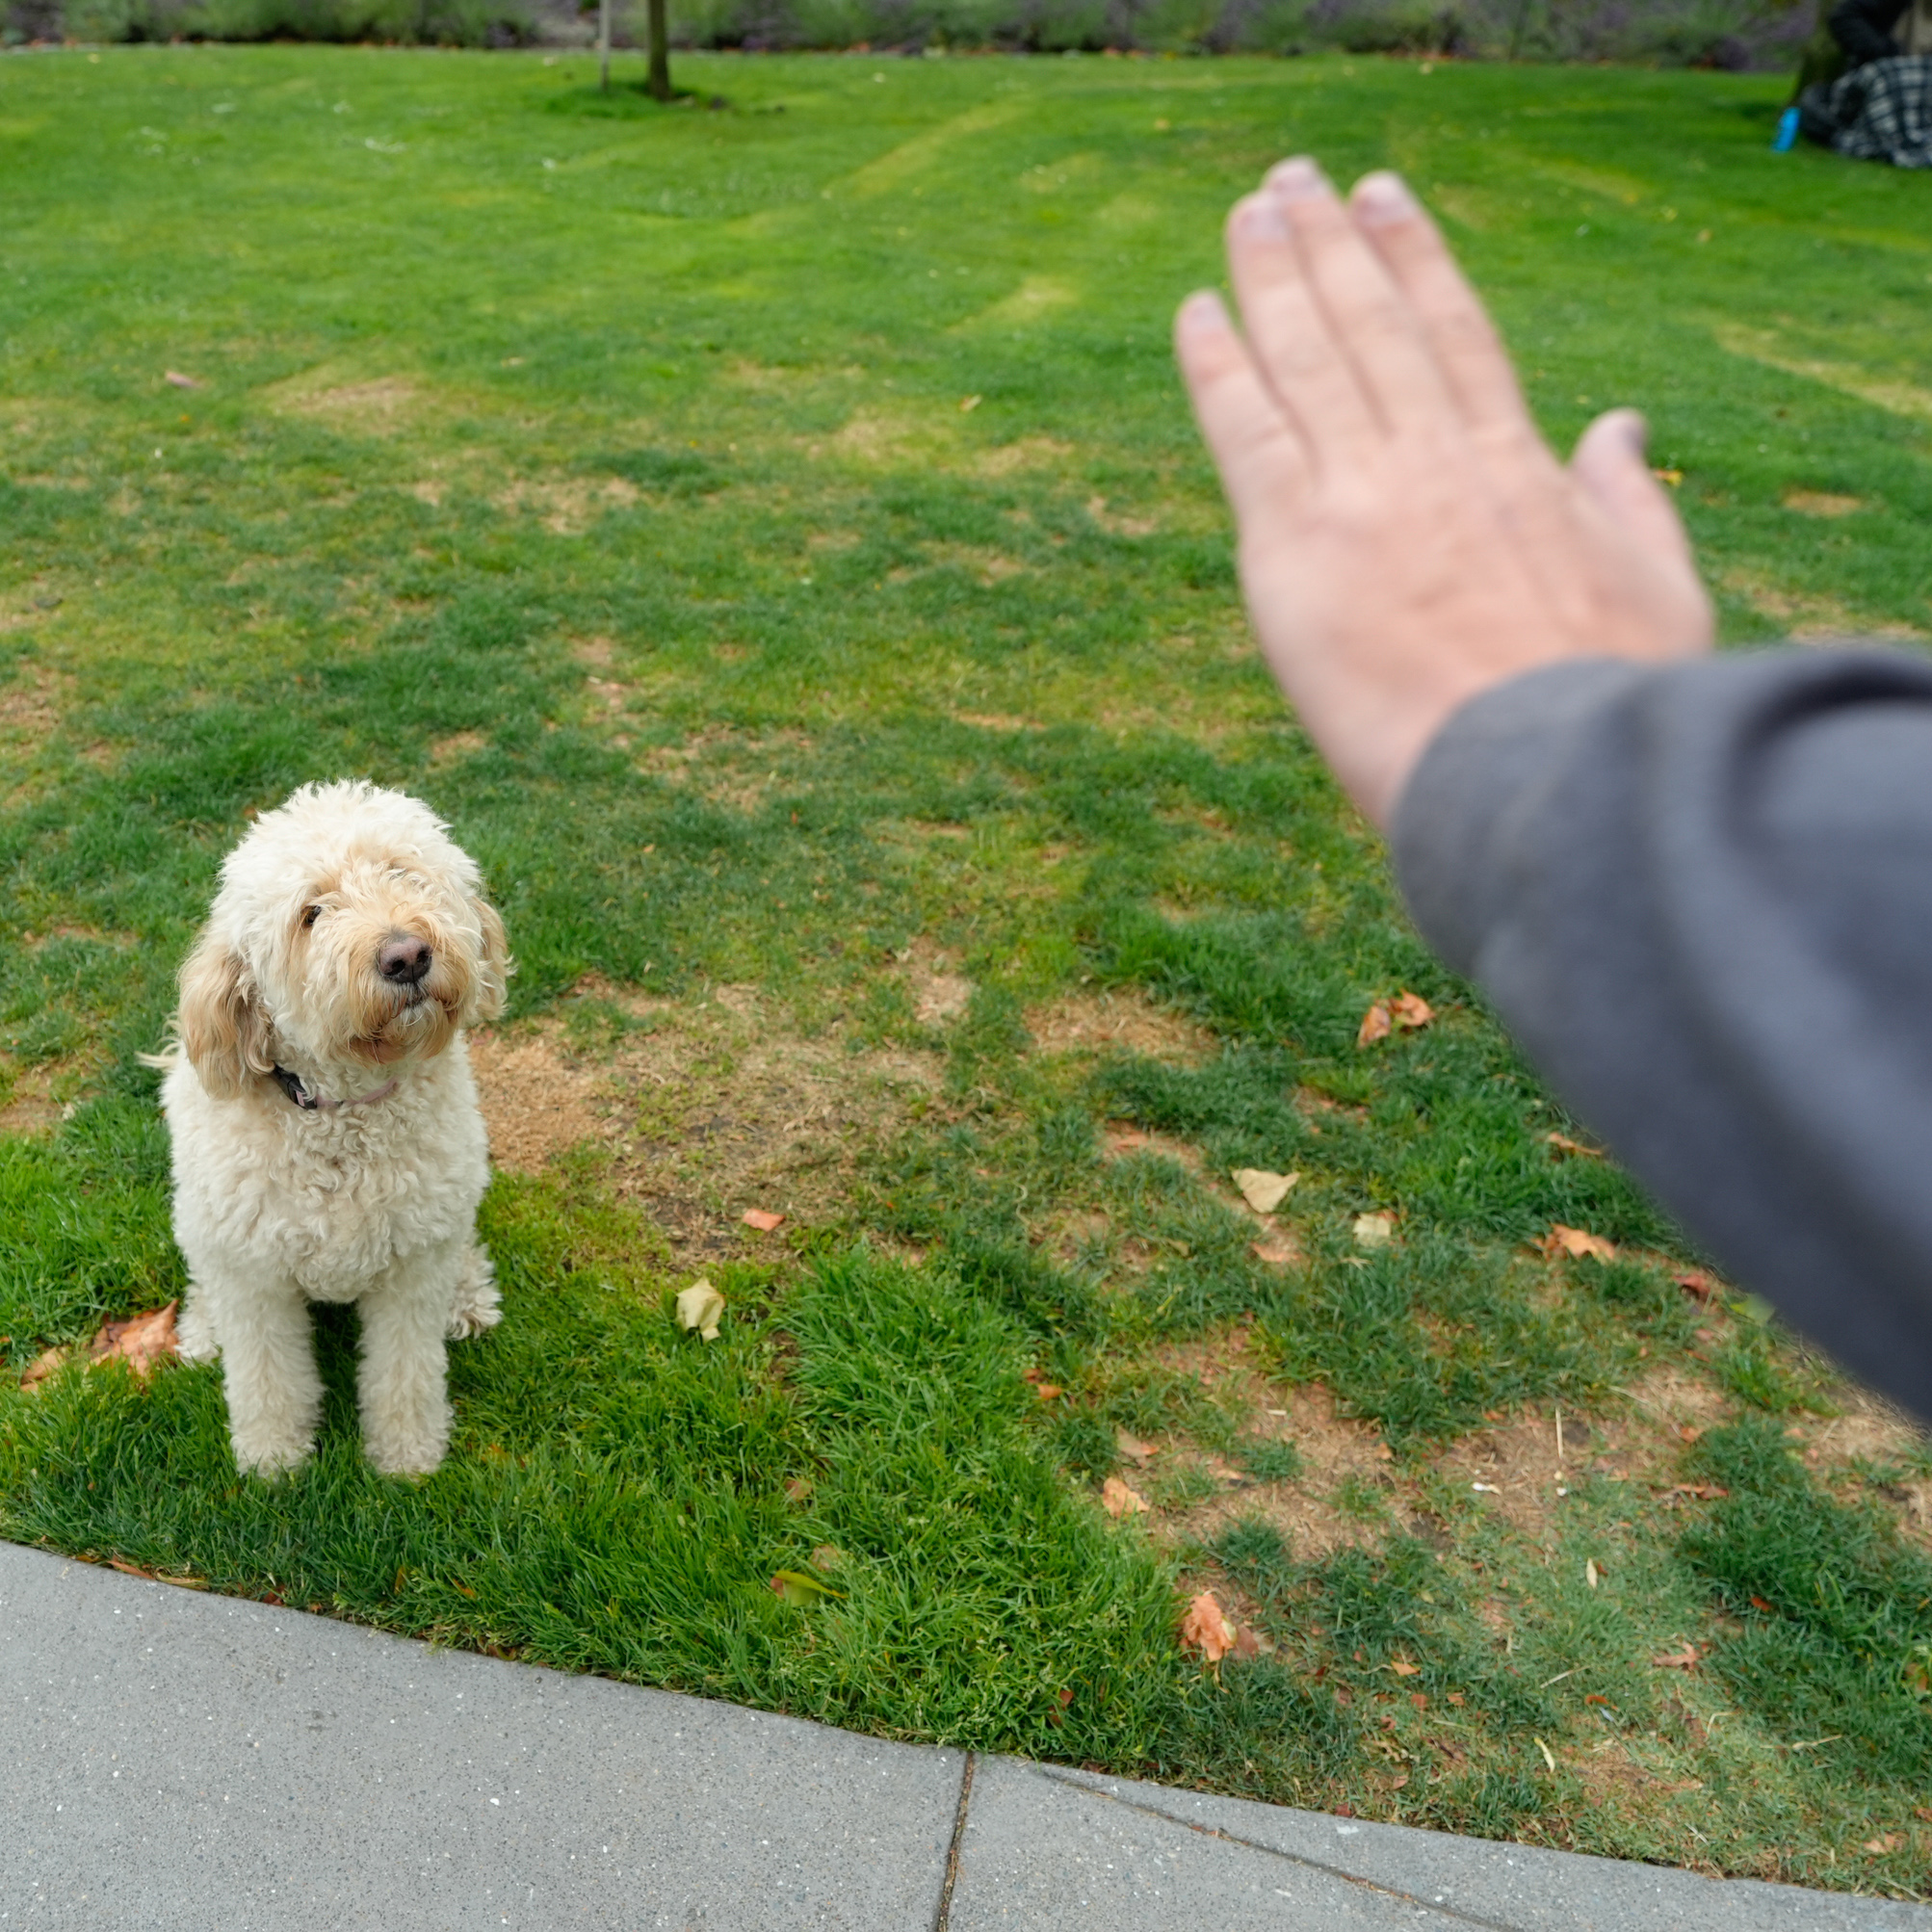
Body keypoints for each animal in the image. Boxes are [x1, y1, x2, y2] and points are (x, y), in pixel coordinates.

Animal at [157, 776, 509, 1468]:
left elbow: (406, 1371)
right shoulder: (255, 1282)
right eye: (312, 913)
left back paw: (468, 1296)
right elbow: (266, 1376)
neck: (345, 1113)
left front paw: (408, 1457)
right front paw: (272, 1459)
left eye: (403, 872)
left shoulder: (413, 1269)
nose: (406, 956)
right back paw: (203, 1329)